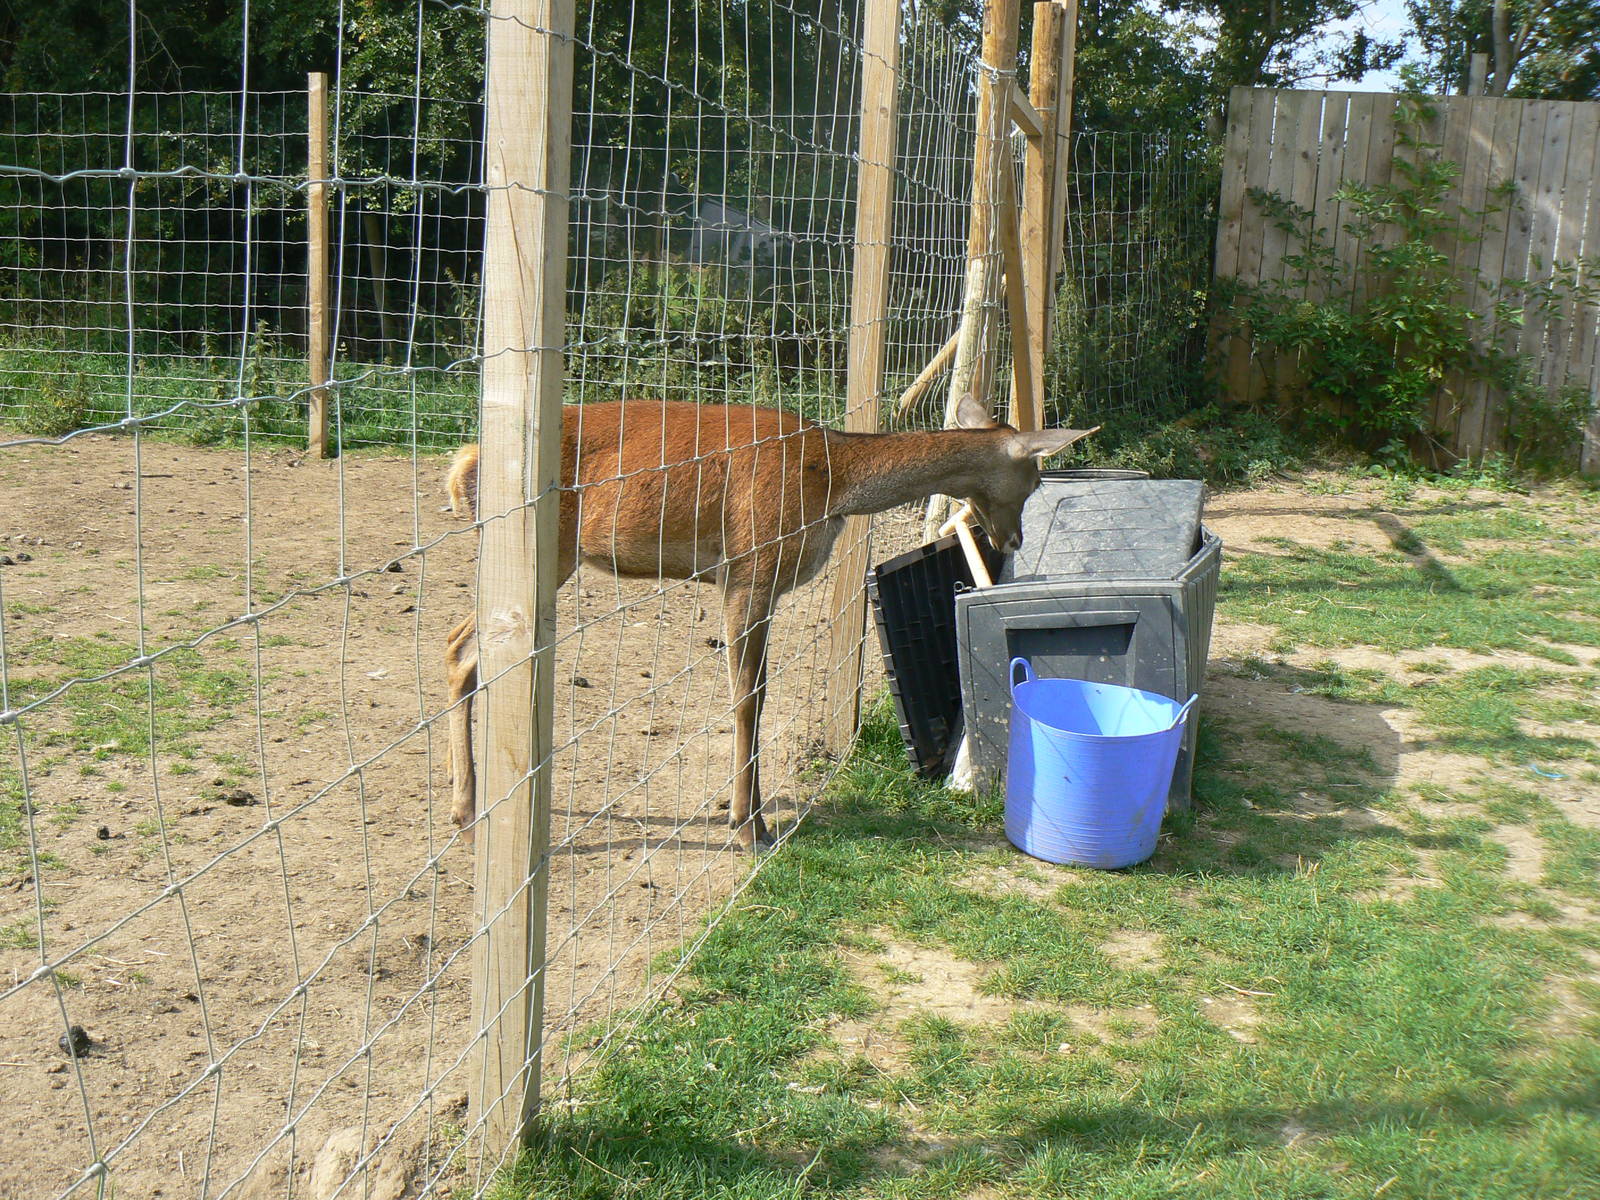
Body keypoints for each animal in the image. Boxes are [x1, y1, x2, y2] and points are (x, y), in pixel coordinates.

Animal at [444, 394, 1094, 851]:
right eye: (1036, 479)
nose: (1014, 539)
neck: (833, 482)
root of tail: (461, 466)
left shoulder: (760, 585)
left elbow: (756, 691)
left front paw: (751, 814)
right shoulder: (748, 573)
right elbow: (746, 698)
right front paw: (748, 825)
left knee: (457, 644)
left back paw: (467, 807)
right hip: (542, 554)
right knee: (466, 647)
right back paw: (470, 812)